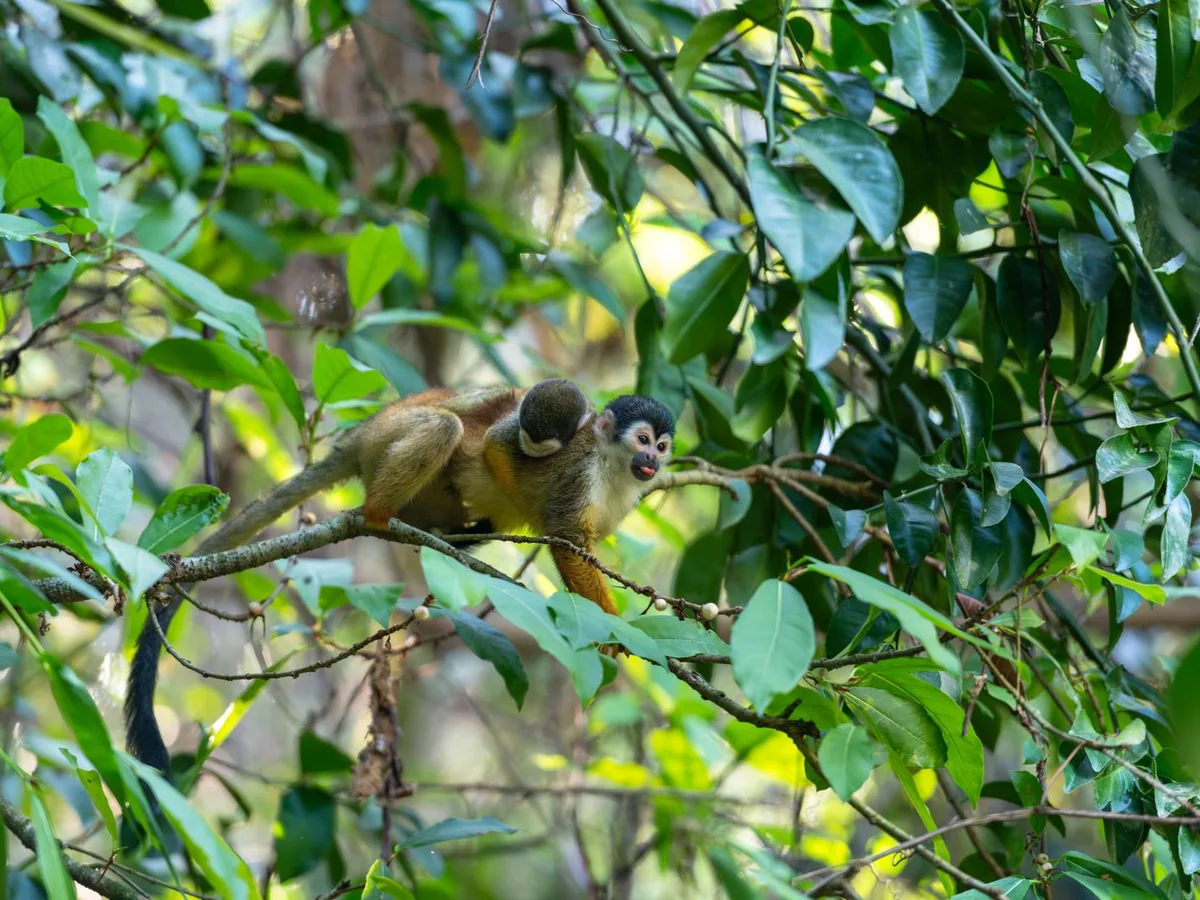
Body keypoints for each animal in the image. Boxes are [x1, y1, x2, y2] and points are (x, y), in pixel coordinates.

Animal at [124, 381, 675, 773]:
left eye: (663, 446)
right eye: (642, 439)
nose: (652, 459)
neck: (612, 468)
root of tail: (361, 434)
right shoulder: (577, 472)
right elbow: (565, 540)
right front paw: (615, 629)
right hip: (391, 435)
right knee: (444, 427)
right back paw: (379, 512)